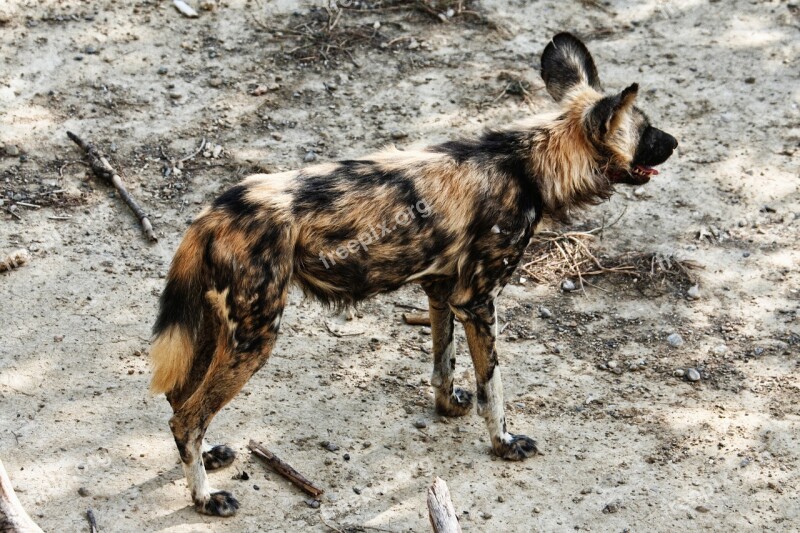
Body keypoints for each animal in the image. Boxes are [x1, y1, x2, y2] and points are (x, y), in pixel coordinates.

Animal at [148, 31, 676, 512]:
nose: (675, 141)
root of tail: (214, 212)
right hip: (255, 337)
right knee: (187, 418)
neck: (530, 165)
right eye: (647, 131)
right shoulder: (478, 302)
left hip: (219, 330)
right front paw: (504, 444)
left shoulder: (441, 292)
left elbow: (443, 365)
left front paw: (448, 408)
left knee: (179, 400)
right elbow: (493, 389)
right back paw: (204, 497)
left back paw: (208, 459)